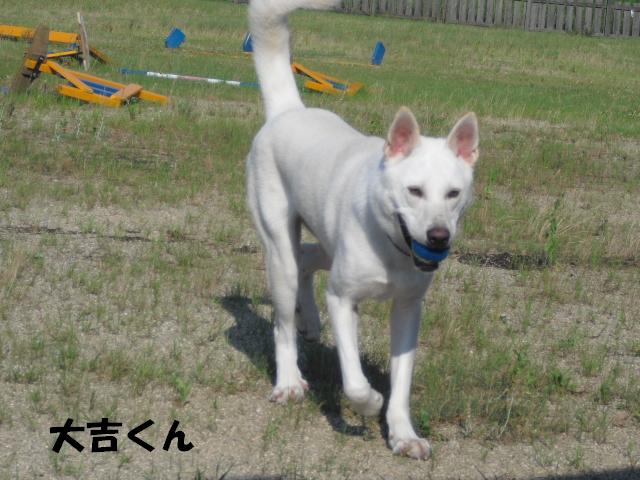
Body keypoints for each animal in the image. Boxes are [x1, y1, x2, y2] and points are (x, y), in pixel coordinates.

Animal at [246, 0, 480, 459]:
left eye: (454, 193)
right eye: (414, 191)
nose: (439, 237)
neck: (393, 250)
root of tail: (288, 111)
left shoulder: (408, 309)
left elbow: (402, 382)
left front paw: (404, 435)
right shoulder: (343, 299)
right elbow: (354, 380)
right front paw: (370, 403)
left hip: (324, 243)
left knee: (308, 261)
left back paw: (309, 322)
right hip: (278, 250)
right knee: (282, 322)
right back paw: (289, 381)